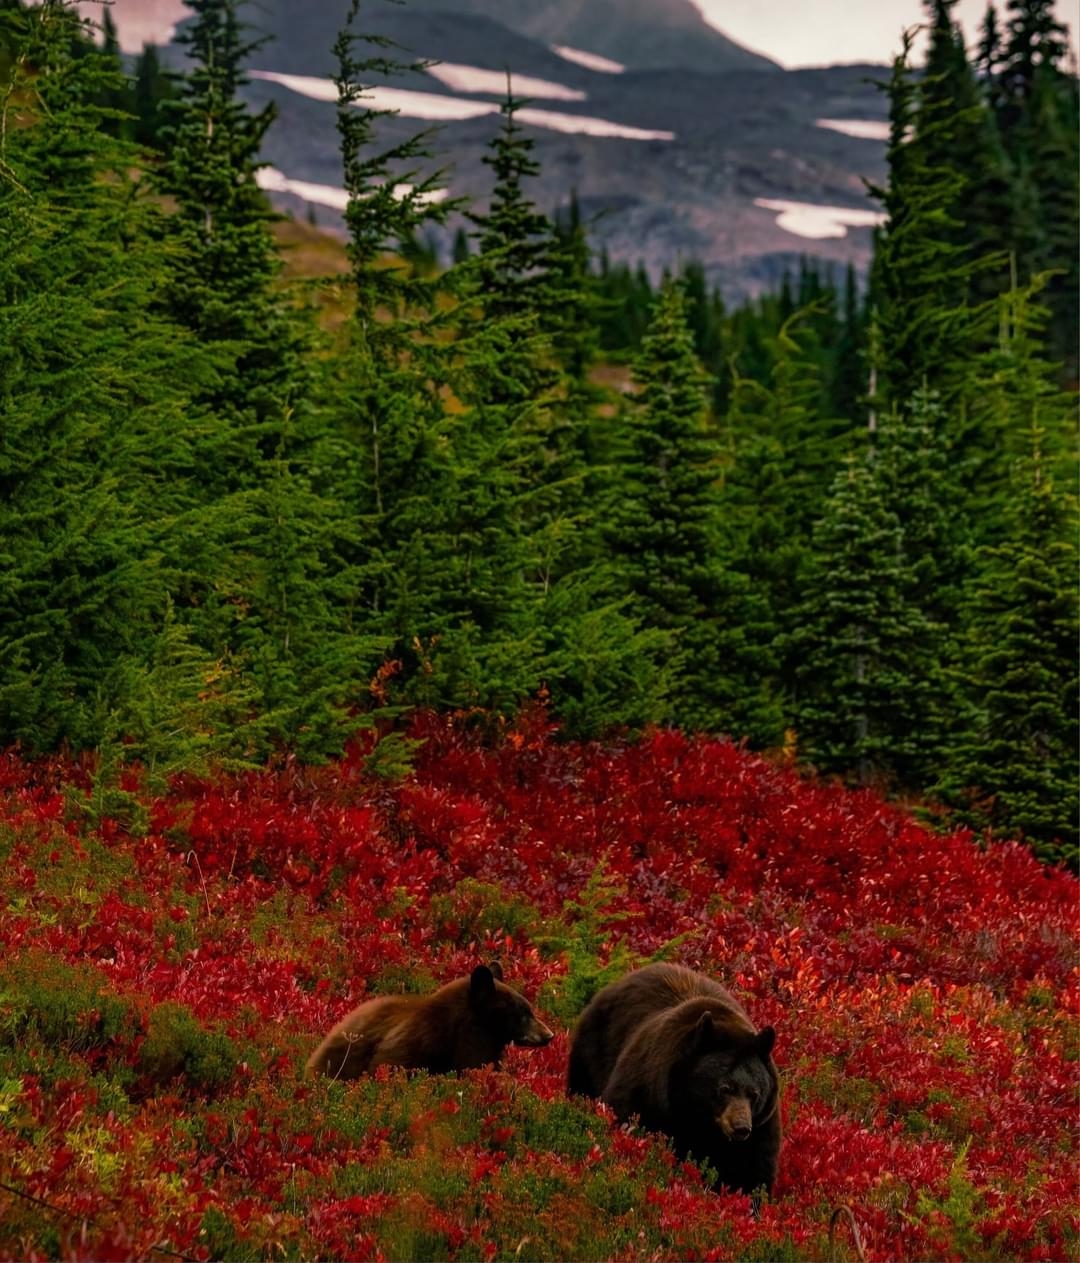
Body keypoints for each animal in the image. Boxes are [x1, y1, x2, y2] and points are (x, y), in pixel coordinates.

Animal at [567, 963, 781, 1198]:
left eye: (754, 1093)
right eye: (725, 1088)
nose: (741, 1127)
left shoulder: (761, 1130)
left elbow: (751, 1175)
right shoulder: (645, 1092)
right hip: (591, 1053)